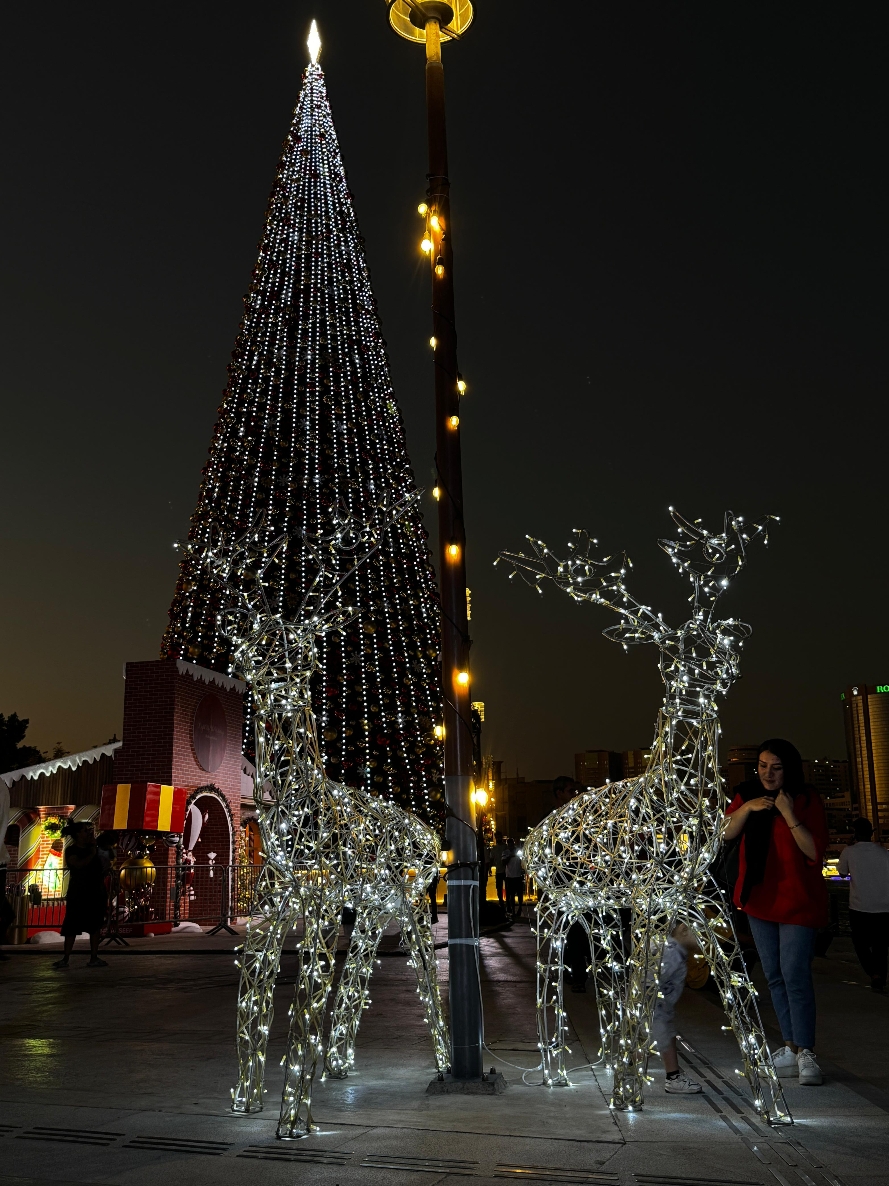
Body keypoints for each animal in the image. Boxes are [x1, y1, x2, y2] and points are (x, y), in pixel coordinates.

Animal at [201, 493, 452, 1138]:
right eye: (250, 646)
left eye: (310, 646)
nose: (279, 676)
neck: (293, 820)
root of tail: (428, 833)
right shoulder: (268, 915)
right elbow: (252, 1006)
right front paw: (246, 1101)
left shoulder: (314, 907)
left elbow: (299, 1008)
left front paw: (292, 1121)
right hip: (370, 908)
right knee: (360, 969)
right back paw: (337, 1063)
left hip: (410, 904)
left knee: (422, 976)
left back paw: (444, 1063)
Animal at [502, 507, 791, 1119]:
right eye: (673, 647)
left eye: (716, 636)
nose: (720, 665)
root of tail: (531, 838)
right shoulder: (649, 896)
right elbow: (643, 986)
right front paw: (628, 1097)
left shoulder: (703, 896)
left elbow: (740, 994)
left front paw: (776, 1108)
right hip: (557, 901)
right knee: (552, 969)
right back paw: (560, 1073)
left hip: (596, 904)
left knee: (603, 972)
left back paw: (603, 1063)